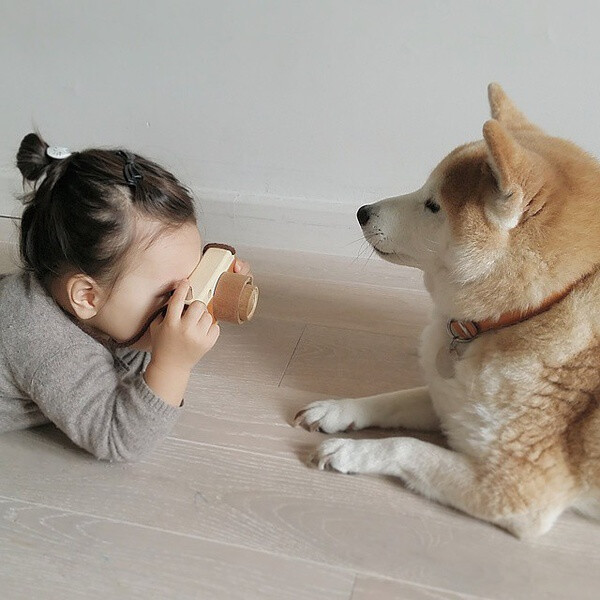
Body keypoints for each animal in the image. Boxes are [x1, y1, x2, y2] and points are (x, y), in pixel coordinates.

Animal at [294, 83, 600, 540]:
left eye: (433, 206)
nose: (361, 211)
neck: (531, 311)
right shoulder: (452, 399)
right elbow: (396, 398)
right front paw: (338, 410)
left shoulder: (515, 492)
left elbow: (406, 446)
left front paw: (350, 451)